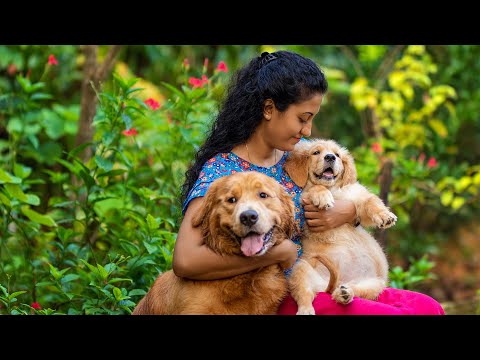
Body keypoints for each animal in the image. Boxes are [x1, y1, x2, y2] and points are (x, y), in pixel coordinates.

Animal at [284, 139, 398, 314]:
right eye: (316, 152)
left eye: (337, 154)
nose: (330, 157)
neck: (333, 190)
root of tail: (328, 286)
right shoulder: (305, 200)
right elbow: (315, 188)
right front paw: (323, 197)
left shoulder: (357, 197)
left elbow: (371, 201)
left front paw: (385, 216)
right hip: (300, 269)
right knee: (304, 294)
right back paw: (307, 310)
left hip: (374, 285)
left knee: (354, 290)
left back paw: (344, 294)